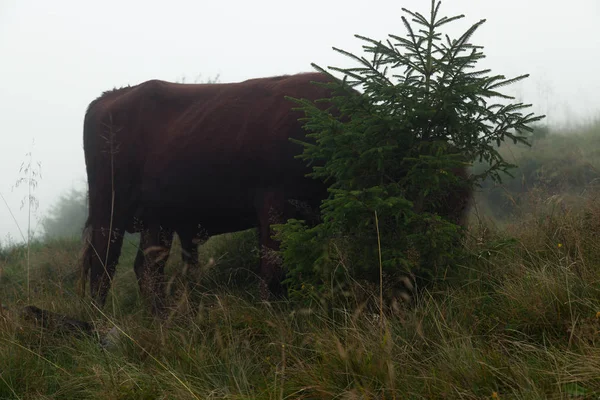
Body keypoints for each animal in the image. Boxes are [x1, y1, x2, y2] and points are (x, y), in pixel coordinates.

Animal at [81, 73, 338, 314]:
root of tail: (109, 97)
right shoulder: (275, 206)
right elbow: (273, 268)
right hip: (110, 211)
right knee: (102, 265)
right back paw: (99, 320)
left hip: (157, 220)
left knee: (148, 268)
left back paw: (161, 317)